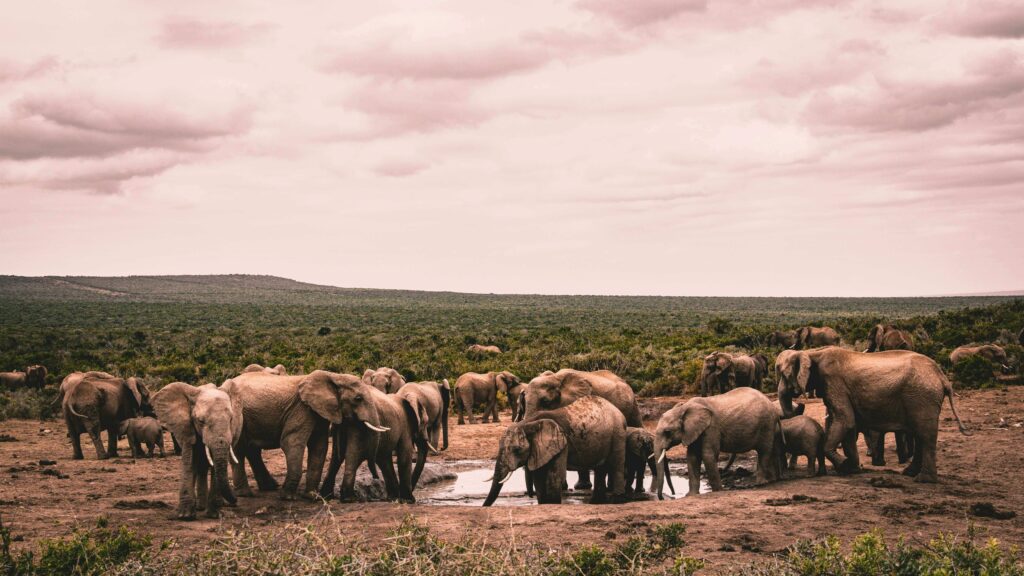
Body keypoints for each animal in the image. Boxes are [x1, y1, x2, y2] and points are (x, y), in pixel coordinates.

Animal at [152, 381, 243, 520]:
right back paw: (200, 507)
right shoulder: (187, 428)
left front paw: (214, 515)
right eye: (200, 421)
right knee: (199, 467)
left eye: (231, 419)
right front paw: (185, 516)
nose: (235, 499)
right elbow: (189, 461)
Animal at [229, 370, 343, 500]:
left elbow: (319, 446)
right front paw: (287, 497)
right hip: (238, 416)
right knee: (240, 449)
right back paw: (245, 494)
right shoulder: (302, 409)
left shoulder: (318, 413)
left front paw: (312, 496)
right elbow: (291, 442)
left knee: (251, 450)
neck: (333, 375)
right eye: (356, 399)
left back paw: (269, 487)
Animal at [482, 395, 627, 506]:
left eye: (517, 450)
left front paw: (553, 504)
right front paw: (544, 504)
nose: (529, 495)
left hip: (618, 433)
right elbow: (539, 477)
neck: (529, 423)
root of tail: (618, 411)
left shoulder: (561, 444)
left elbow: (554, 476)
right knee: (600, 469)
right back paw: (596, 503)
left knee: (616, 466)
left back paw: (617, 501)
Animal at [653, 387, 783, 499]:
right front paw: (690, 495)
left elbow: (708, 455)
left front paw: (718, 491)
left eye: (667, 432)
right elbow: (692, 457)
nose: (668, 496)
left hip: (766, 424)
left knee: (764, 451)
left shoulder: (711, 428)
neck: (684, 408)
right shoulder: (694, 431)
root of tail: (773, 407)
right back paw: (772, 480)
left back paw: (760, 484)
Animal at [776, 347, 970, 482]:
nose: (800, 403)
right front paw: (853, 469)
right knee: (920, 434)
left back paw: (923, 480)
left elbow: (845, 420)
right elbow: (849, 424)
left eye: (784, 375)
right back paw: (909, 473)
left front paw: (844, 466)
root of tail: (942, 377)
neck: (813, 352)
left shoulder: (834, 382)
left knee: (925, 434)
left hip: (922, 396)